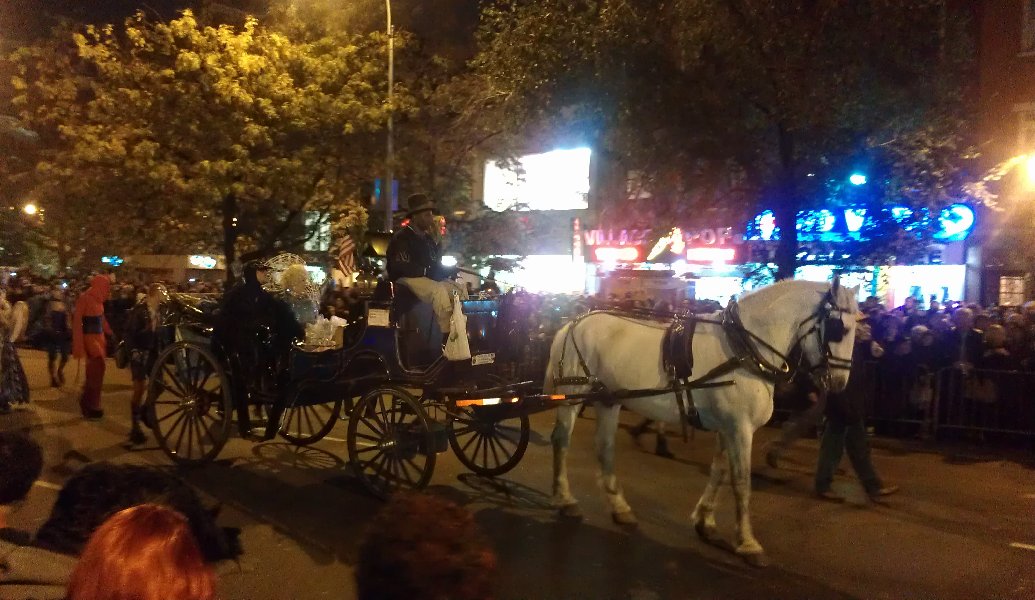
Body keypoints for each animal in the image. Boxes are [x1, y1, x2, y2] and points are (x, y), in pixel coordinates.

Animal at [546, 279, 861, 566]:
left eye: (857, 328)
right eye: (838, 328)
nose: (839, 384)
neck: (743, 348)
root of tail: (571, 323)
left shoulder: (727, 427)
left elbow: (718, 473)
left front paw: (705, 522)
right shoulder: (740, 428)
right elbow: (741, 481)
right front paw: (747, 543)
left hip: (609, 400)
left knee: (605, 448)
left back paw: (619, 507)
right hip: (572, 396)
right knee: (561, 440)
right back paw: (566, 500)